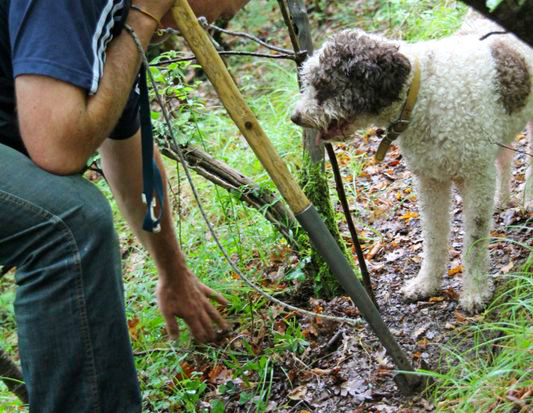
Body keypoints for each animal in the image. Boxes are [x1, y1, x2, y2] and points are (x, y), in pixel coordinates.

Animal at [290, 11, 532, 310]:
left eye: (324, 84)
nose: (295, 117)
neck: (423, 94)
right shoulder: (430, 180)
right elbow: (433, 235)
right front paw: (426, 284)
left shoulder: (476, 175)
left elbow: (475, 239)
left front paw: (475, 292)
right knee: (506, 157)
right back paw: (503, 198)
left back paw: (526, 199)